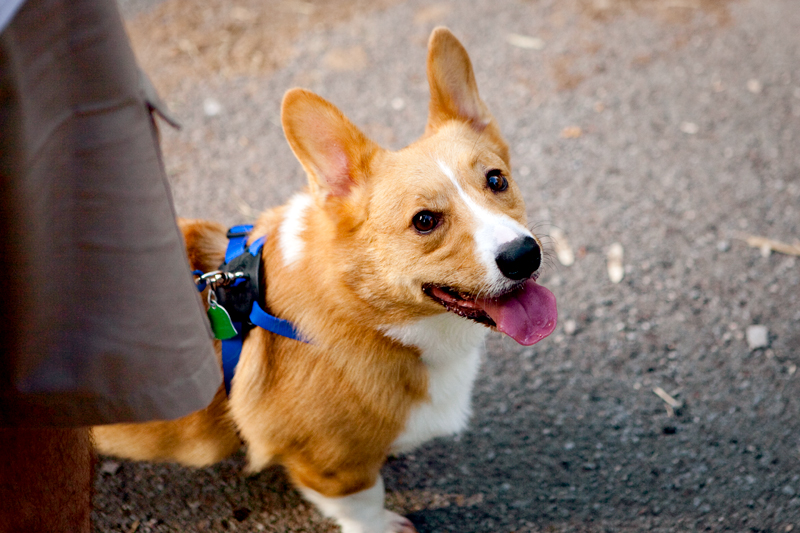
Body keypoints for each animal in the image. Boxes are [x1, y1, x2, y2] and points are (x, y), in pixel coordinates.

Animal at [94, 27, 556, 532]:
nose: (524, 255)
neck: (368, 318)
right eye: (425, 221)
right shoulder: (329, 465)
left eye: (496, 180)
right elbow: (363, 502)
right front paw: (384, 524)